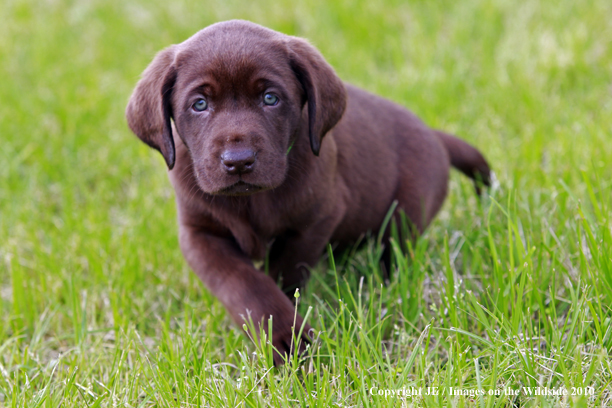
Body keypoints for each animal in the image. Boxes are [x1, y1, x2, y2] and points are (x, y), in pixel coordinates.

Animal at [125, 19, 492, 364]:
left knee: (395, 249)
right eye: (199, 104)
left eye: (270, 98)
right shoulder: (200, 233)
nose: (238, 161)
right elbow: (243, 283)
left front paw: (289, 340)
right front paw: (282, 337)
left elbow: (284, 272)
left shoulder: (316, 219)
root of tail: (433, 135)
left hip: (407, 209)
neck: (251, 200)